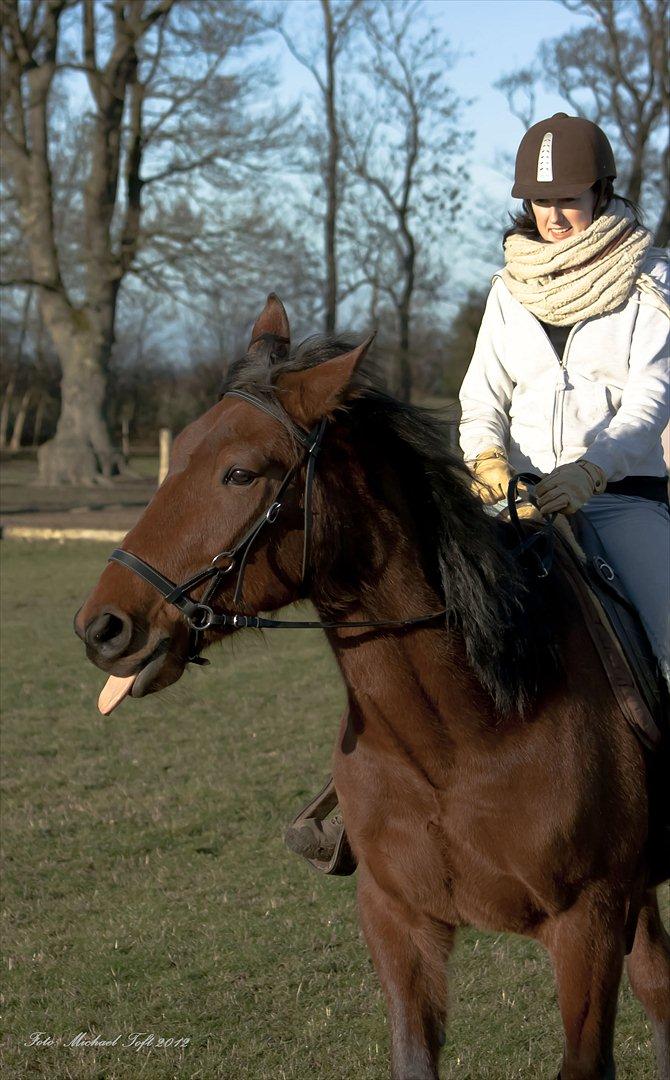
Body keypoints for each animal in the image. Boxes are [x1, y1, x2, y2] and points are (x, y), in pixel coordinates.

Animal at [75, 295, 665, 1080]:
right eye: (184, 452)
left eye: (241, 474)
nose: (102, 626)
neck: (462, 733)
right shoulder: (399, 922)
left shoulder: (588, 925)